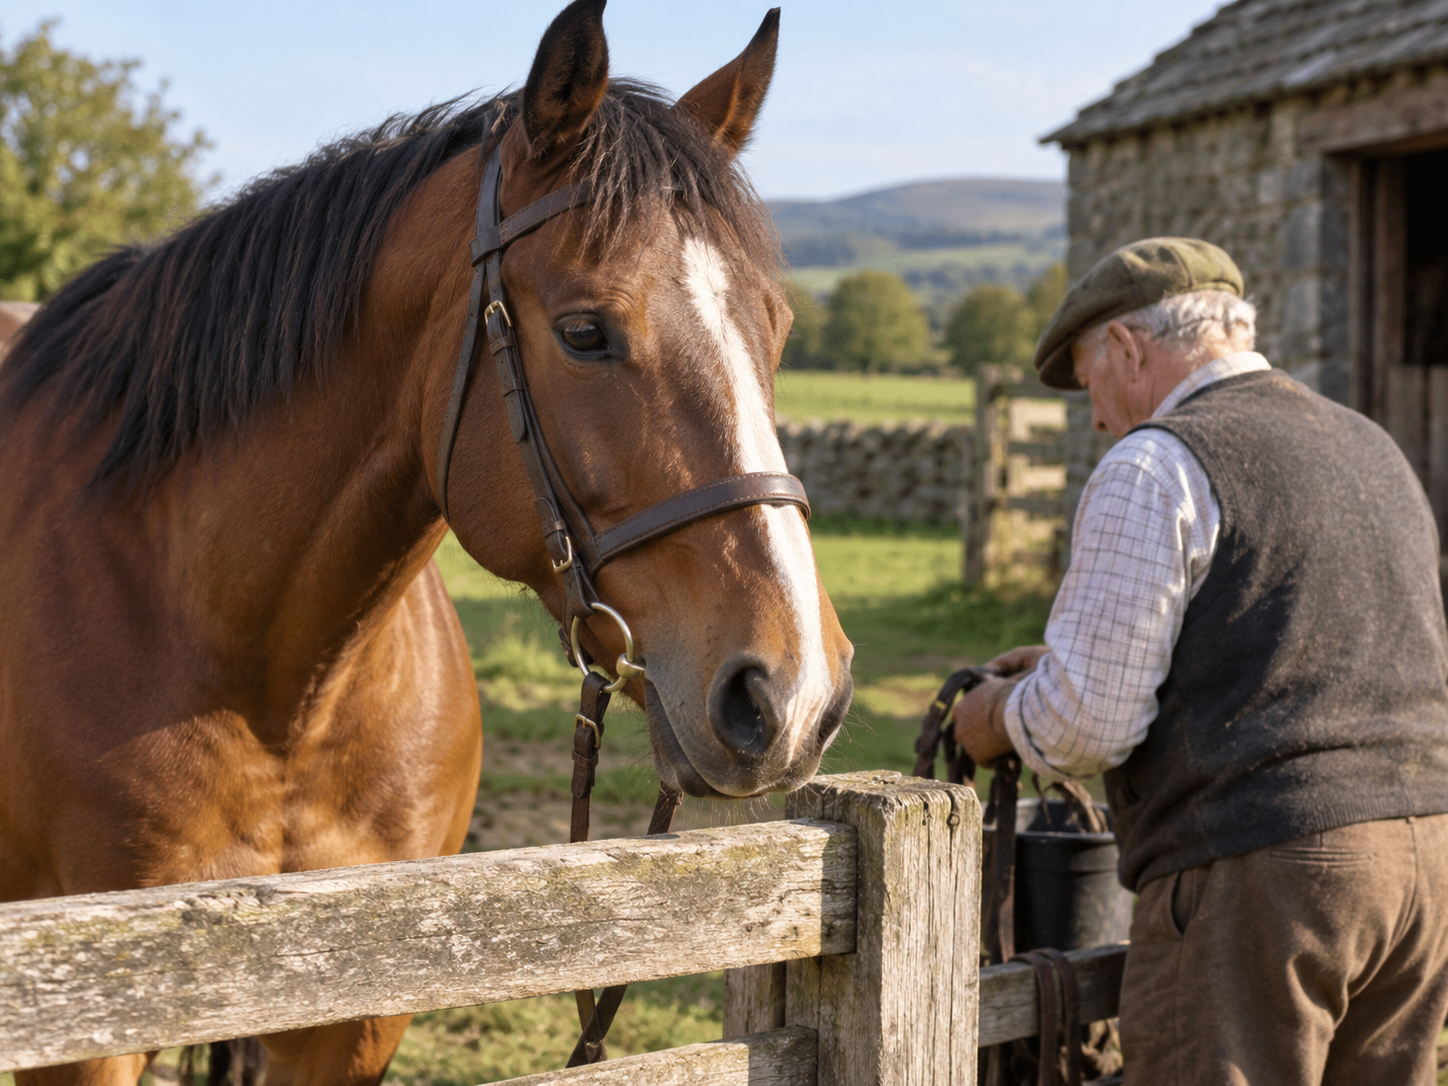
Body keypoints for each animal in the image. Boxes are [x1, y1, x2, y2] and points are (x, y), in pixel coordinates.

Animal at [0, 1, 855, 1081]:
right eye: (584, 332)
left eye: (775, 330)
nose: (795, 695)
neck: (279, 694)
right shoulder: (87, 1024)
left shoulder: (360, 1013)